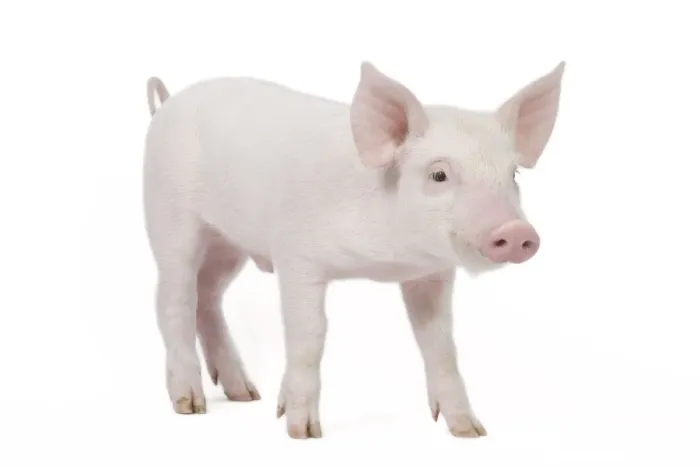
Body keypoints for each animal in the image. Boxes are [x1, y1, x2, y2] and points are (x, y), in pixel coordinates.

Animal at [142, 60, 566, 439]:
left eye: (513, 175)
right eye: (439, 174)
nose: (516, 231)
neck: (387, 260)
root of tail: (168, 103)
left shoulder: (431, 274)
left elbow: (440, 342)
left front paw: (470, 431)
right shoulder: (296, 257)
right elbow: (310, 337)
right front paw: (302, 432)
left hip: (228, 243)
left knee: (208, 297)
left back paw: (245, 395)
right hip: (170, 217)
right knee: (174, 299)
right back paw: (190, 405)